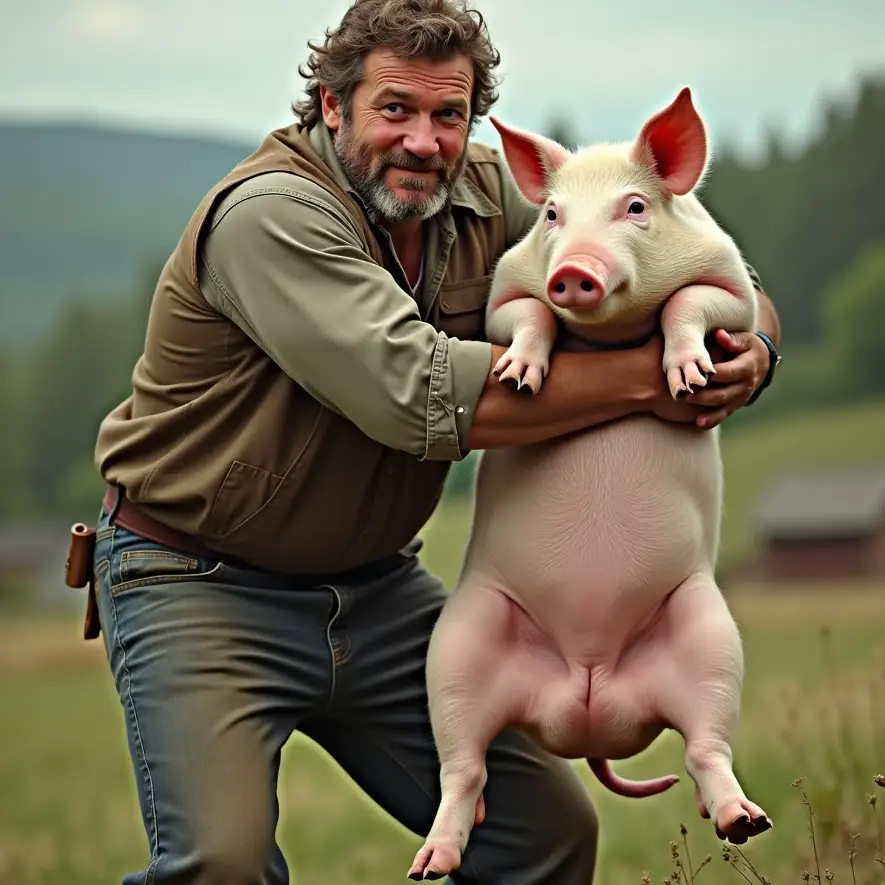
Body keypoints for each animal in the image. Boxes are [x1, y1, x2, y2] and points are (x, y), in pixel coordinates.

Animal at [408, 87, 772, 881]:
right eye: (551, 215)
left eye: (634, 207)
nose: (574, 268)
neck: (609, 333)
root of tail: (589, 698)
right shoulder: (506, 294)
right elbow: (527, 318)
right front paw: (518, 376)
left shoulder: (731, 287)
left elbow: (690, 306)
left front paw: (689, 377)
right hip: (457, 646)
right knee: (463, 769)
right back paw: (428, 863)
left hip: (708, 634)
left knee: (706, 747)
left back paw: (745, 820)